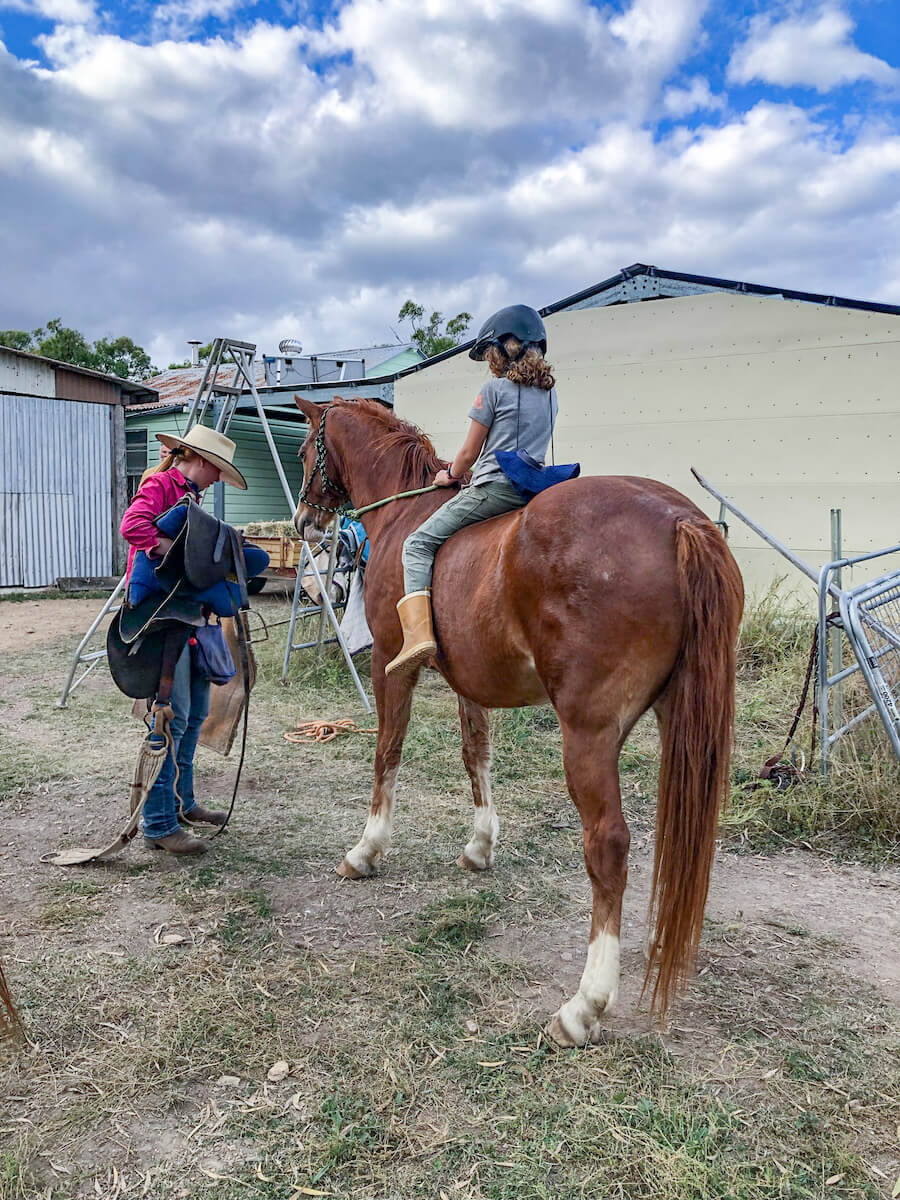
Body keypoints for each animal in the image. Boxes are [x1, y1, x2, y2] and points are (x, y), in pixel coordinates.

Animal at [293, 396, 744, 1045]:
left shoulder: (390, 664)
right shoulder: (467, 681)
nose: (303, 520)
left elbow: (387, 752)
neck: (406, 513)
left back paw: (584, 1006)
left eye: (307, 448)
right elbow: (474, 753)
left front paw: (367, 850)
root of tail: (680, 520)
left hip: (588, 734)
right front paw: (480, 845)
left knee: (608, 844)